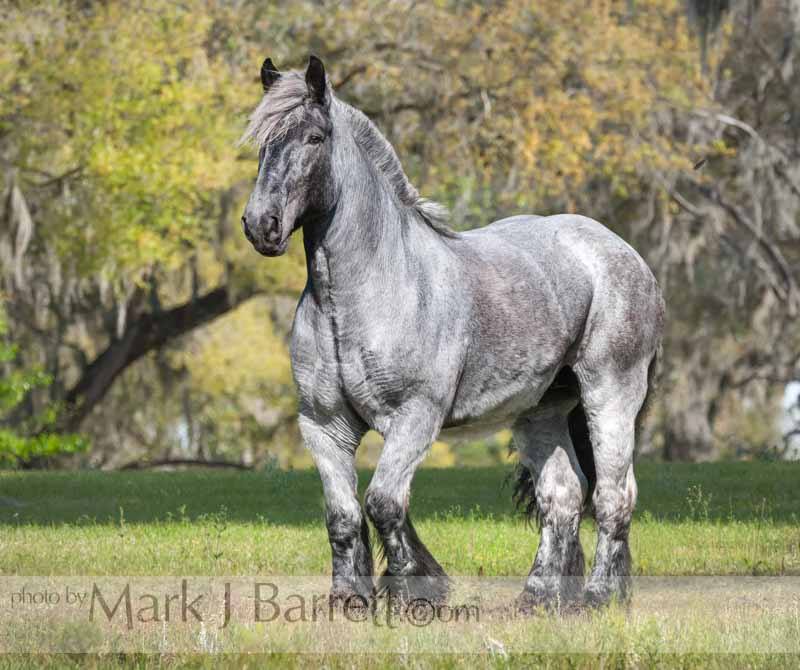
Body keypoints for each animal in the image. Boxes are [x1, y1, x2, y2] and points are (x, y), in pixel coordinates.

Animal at [241, 57, 664, 612]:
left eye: (313, 137)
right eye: (262, 142)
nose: (260, 225)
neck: (370, 288)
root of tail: (624, 254)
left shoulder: (415, 417)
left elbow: (383, 502)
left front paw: (413, 592)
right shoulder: (324, 427)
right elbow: (344, 515)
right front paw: (350, 599)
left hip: (610, 395)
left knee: (613, 496)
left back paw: (597, 598)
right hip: (540, 413)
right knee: (563, 496)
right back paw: (538, 600)